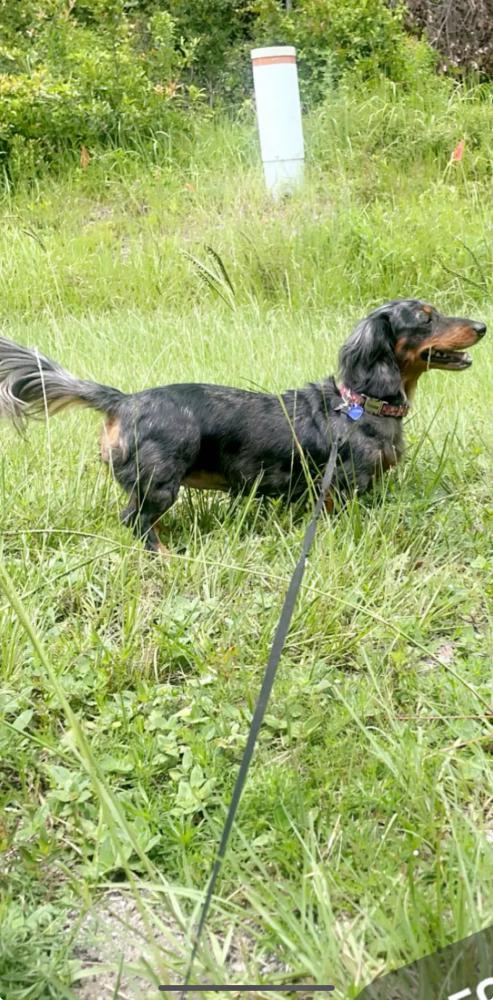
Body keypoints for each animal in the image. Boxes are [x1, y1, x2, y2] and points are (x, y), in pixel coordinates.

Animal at [0, 299, 486, 553]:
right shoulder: (342, 488)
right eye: (425, 317)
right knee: (135, 521)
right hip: (158, 485)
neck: (359, 403)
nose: (482, 325)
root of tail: (124, 400)